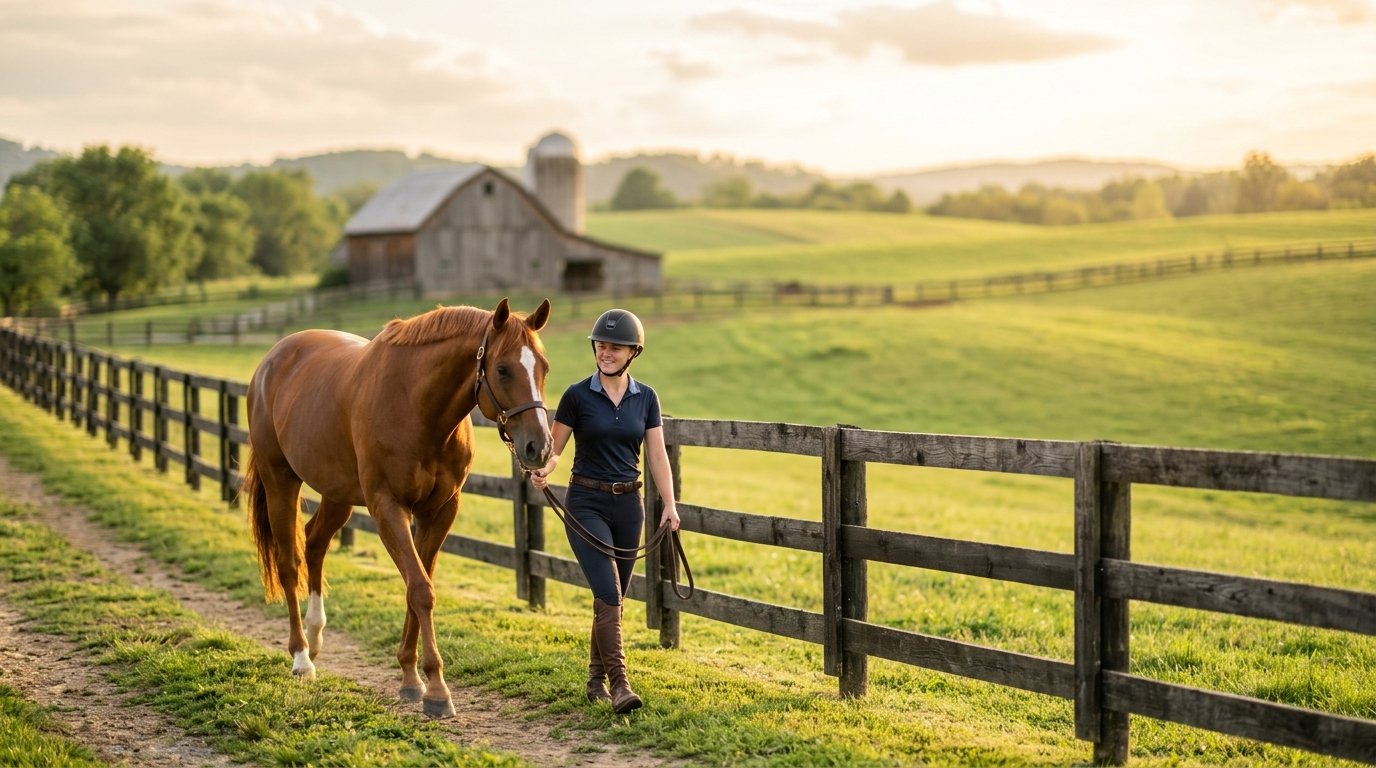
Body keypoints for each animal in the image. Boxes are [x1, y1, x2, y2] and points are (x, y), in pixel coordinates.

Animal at [241, 297, 552, 718]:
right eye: (503, 369)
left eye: (543, 367)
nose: (540, 447)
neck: (416, 406)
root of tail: (271, 361)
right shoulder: (388, 508)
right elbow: (420, 589)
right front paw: (436, 689)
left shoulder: (440, 511)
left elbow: (417, 584)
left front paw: (410, 676)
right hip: (281, 481)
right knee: (290, 562)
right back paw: (302, 657)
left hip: (338, 494)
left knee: (314, 544)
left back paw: (316, 635)